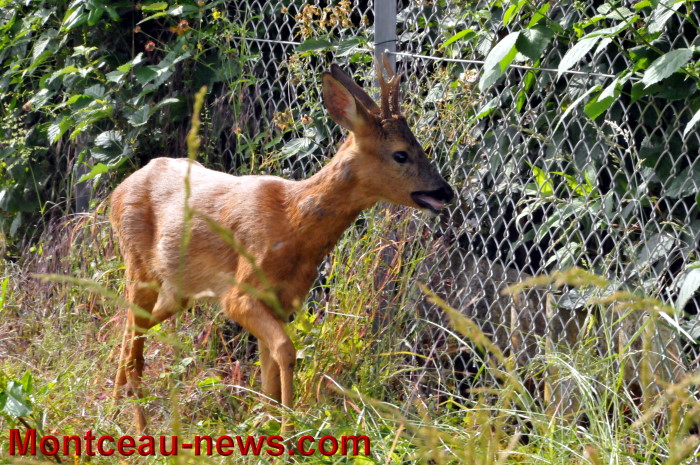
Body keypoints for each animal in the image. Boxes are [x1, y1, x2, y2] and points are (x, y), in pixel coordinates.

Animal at [110, 58, 453, 434]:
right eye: (401, 154)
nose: (446, 192)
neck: (293, 224)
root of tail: (118, 190)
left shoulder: (281, 300)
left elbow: (269, 374)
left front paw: (272, 425)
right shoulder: (240, 295)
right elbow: (287, 351)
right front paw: (289, 430)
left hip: (177, 289)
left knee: (129, 333)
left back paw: (113, 411)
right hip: (138, 265)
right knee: (133, 342)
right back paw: (137, 427)